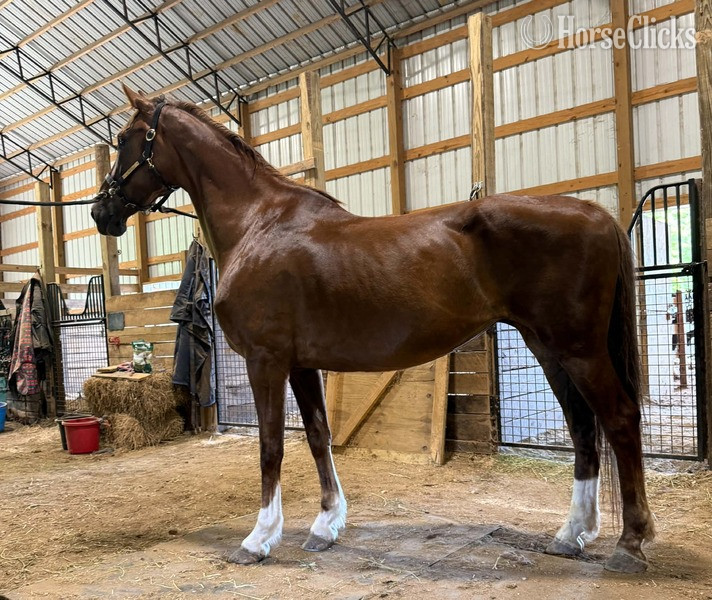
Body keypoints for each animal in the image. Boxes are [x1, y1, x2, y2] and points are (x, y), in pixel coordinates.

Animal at [91, 85, 654, 573]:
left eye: (123, 140)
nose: (101, 211)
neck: (260, 223)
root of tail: (595, 213)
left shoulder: (266, 361)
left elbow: (271, 446)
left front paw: (258, 539)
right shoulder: (302, 365)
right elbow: (318, 436)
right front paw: (325, 525)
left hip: (578, 349)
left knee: (620, 419)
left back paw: (630, 543)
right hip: (549, 348)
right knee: (583, 428)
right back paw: (572, 534)